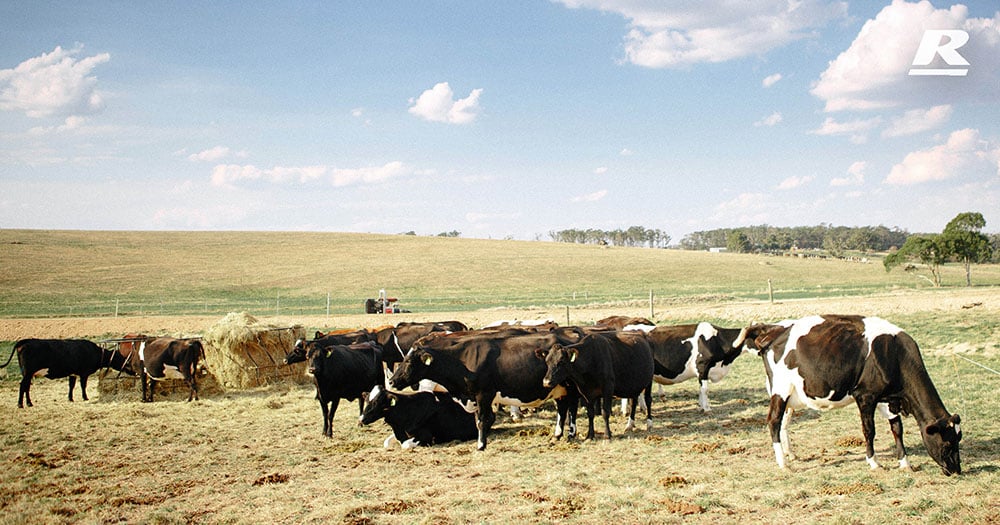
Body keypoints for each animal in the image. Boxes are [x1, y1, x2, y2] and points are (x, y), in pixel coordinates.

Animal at [2, 338, 135, 408]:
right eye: (122, 358)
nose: (133, 371)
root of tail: (25, 341)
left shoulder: (73, 373)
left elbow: (71, 385)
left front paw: (70, 398)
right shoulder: (83, 373)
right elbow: (83, 385)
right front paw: (85, 397)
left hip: (28, 374)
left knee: (26, 387)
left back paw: (28, 403)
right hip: (28, 373)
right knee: (23, 386)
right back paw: (21, 404)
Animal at [386, 330, 584, 448]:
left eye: (408, 361)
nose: (393, 381)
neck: (462, 360)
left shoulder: (483, 394)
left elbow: (482, 420)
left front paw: (481, 445)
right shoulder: (474, 397)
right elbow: (478, 421)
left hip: (570, 387)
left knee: (572, 408)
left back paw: (571, 434)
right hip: (557, 388)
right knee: (562, 409)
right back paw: (557, 435)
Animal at [752, 316, 960, 474]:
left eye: (959, 439)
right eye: (947, 444)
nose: (956, 470)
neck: (892, 352)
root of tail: (774, 329)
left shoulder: (887, 398)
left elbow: (897, 428)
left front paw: (905, 463)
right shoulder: (865, 396)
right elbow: (869, 430)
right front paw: (874, 462)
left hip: (790, 395)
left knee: (784, 423)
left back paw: (791, 454)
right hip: (781, 390)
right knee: (774, 421)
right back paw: (783, 463)